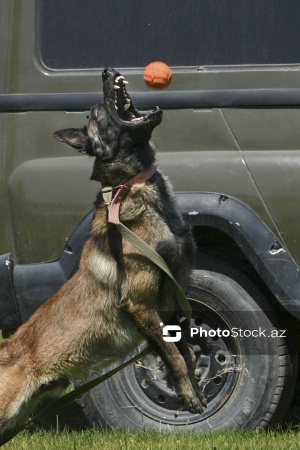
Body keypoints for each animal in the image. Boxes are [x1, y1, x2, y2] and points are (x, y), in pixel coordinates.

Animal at [0, 67, 205, 432]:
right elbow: (174, 356)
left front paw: (193, 387)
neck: (132, 186)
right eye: (97, 112)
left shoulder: (171, 307)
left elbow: (186, 353)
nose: (108, 71)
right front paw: (186, 391)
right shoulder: (140, 304)